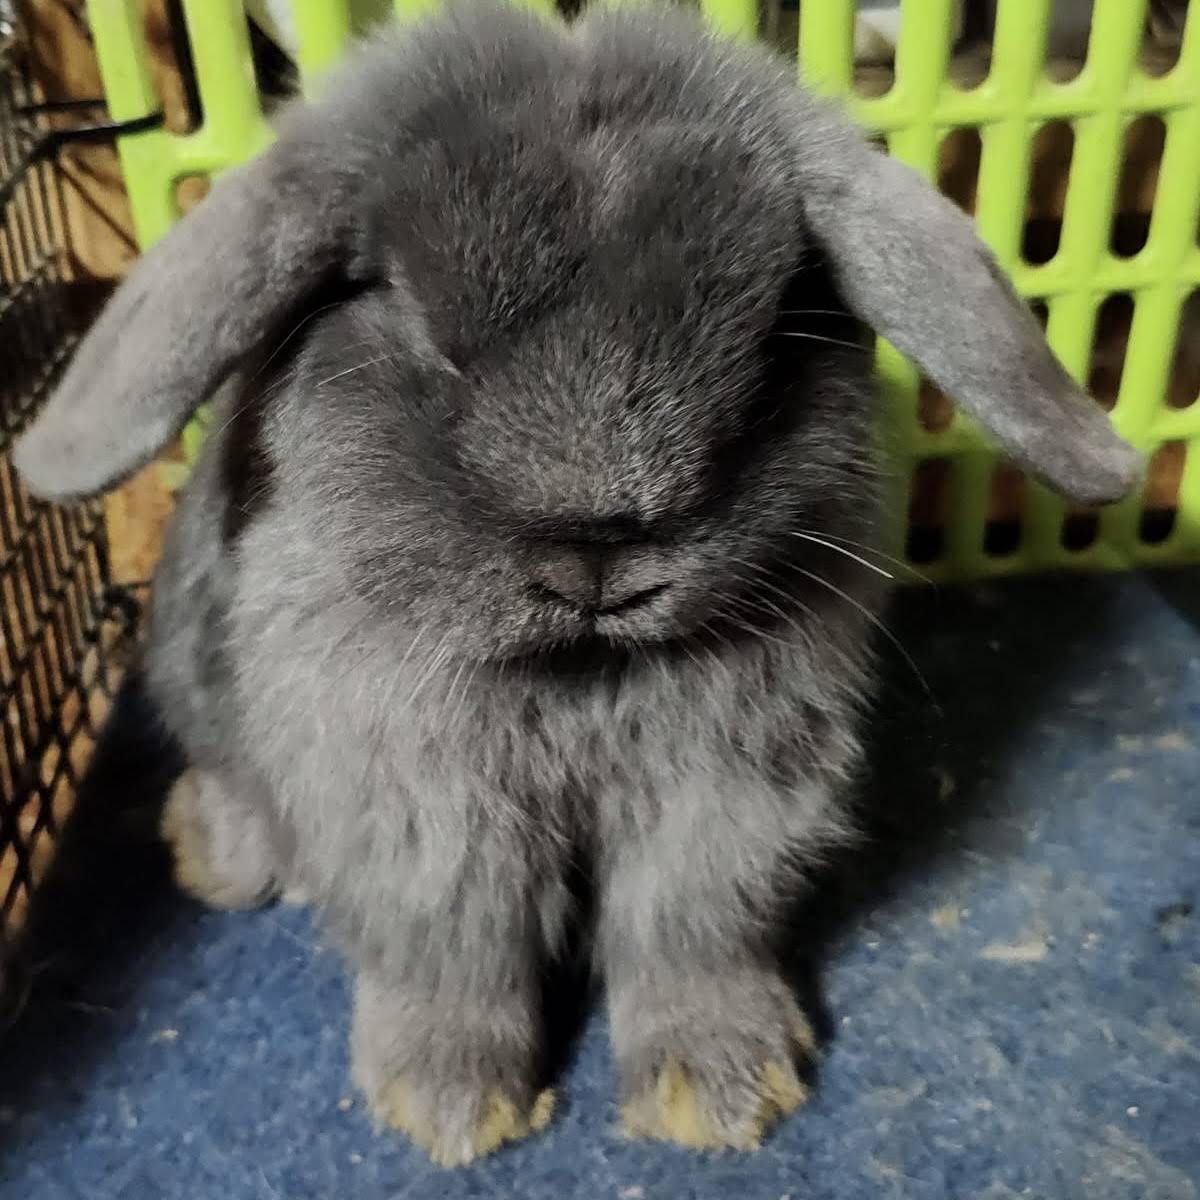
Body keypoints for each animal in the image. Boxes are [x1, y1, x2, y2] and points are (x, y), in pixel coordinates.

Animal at [14, 0, 1141, 1168]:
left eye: (768, 338)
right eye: (419, 328)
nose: (598, 553)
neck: (578, 673)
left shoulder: (728, 796)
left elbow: (691, 928)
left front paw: (722, 1094)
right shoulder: (416, 800)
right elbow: (456, 944)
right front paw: (453, 1108)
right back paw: (213, 852)